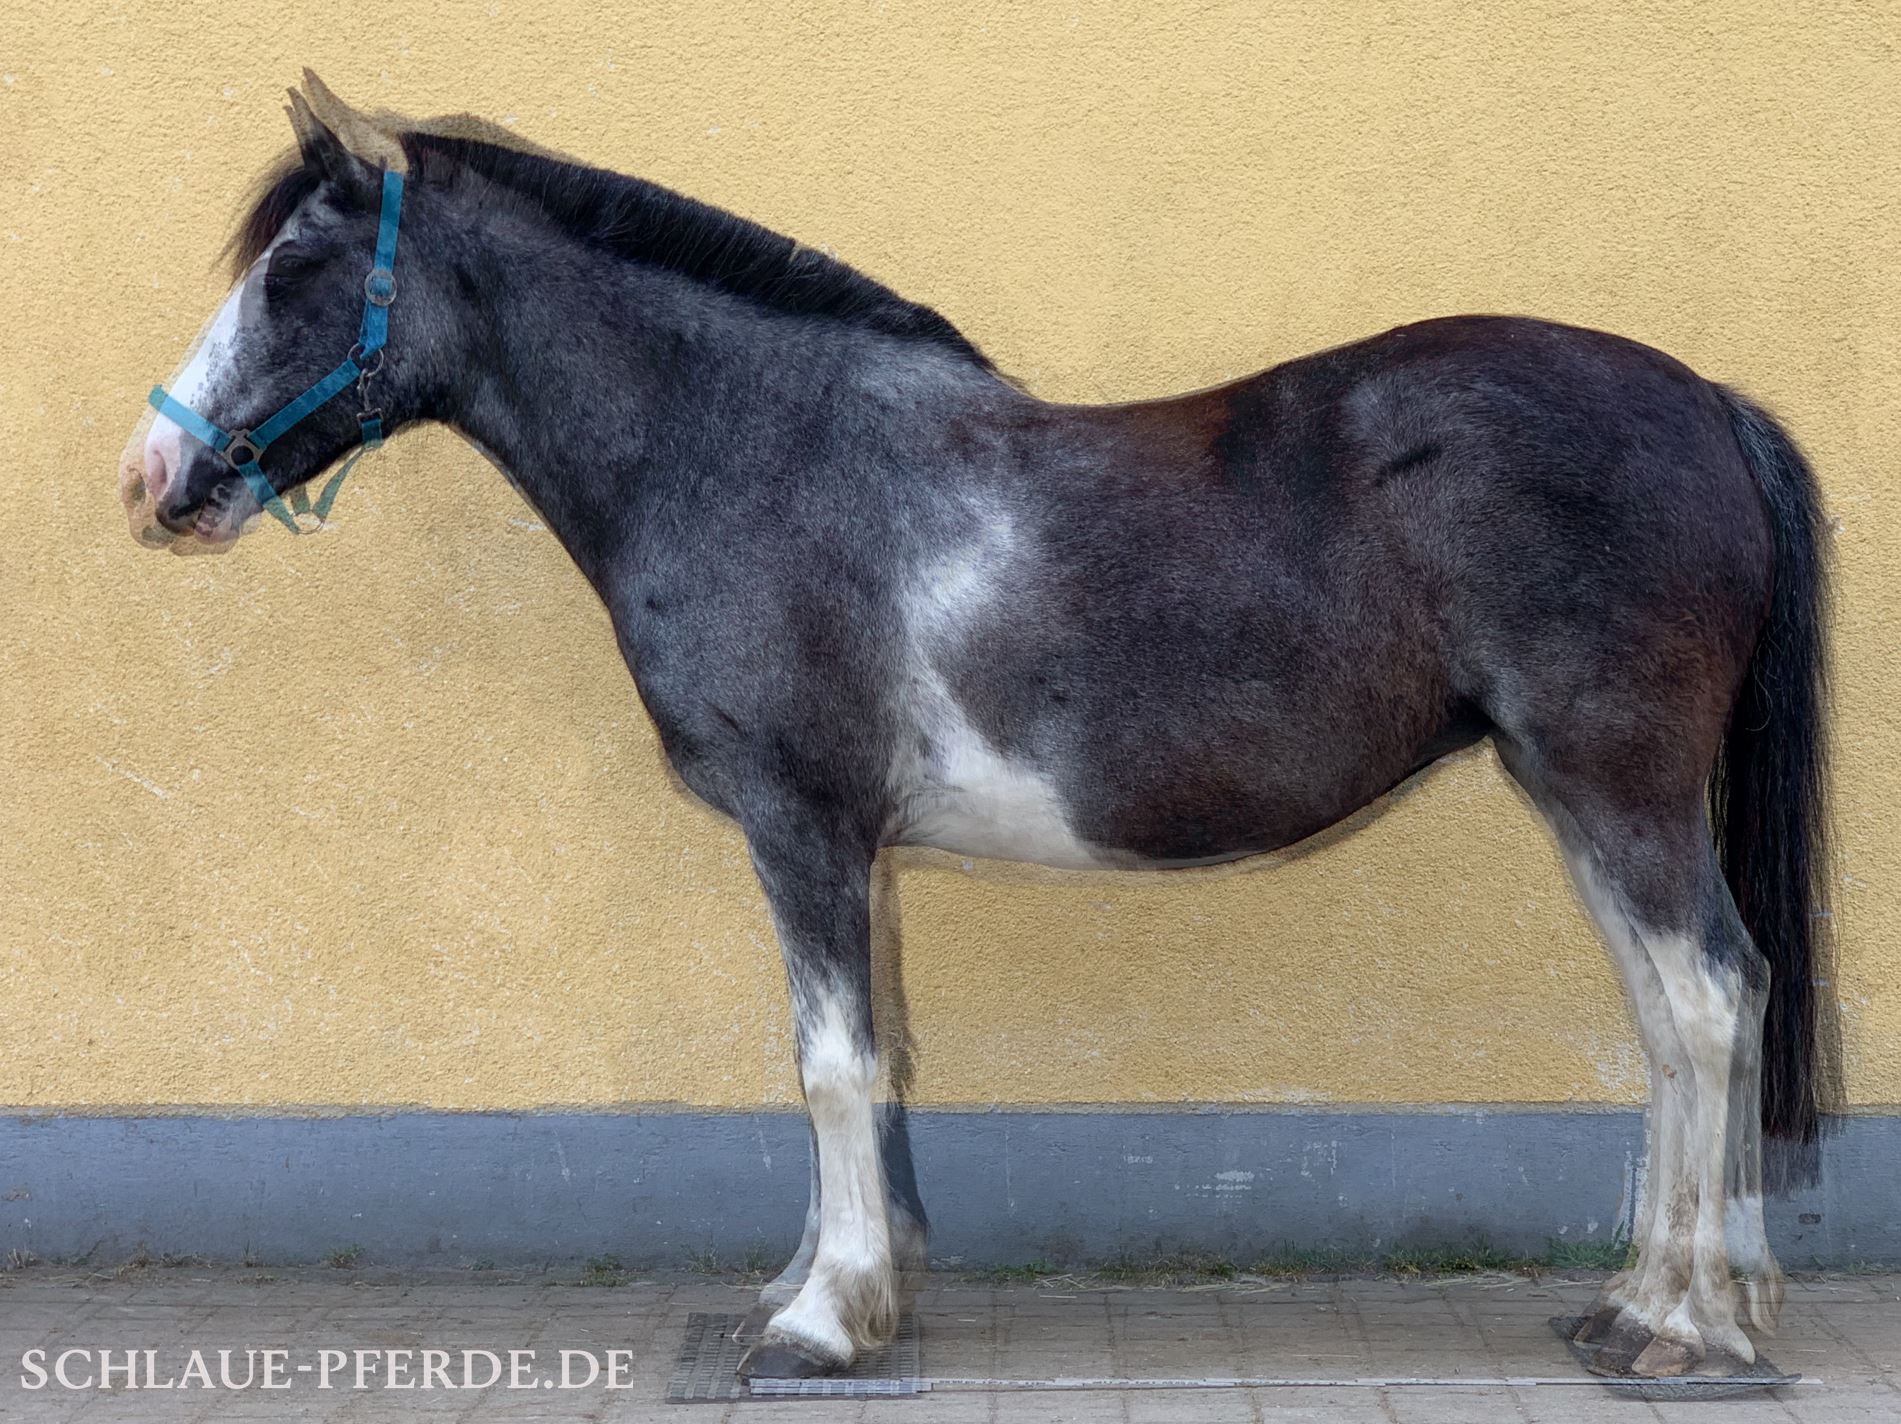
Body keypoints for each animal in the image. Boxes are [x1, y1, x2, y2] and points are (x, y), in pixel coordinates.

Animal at [119, 74, 1832, 1382]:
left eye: (289, 273)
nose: (154, 479)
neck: (752, 452)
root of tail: (1704, 401)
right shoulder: (849, 850)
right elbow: (870, 1058)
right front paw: (842, 1285)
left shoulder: (803, 826)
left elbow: (828, 1062)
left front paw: (820, 1324)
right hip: (1580, 791)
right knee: (1678, 1015)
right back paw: (1640, 1302)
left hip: (1619, 784)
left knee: (1704, 1002)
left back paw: (1688, 1330)